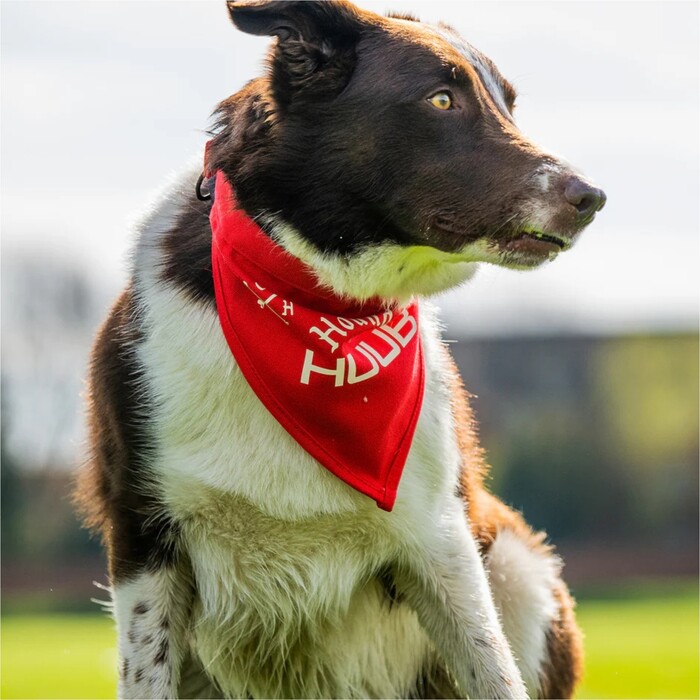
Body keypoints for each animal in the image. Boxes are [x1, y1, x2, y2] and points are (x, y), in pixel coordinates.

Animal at [74, 2, 604, 696]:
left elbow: (493, 671)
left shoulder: (439, 534)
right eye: (441, 100)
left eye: (509, 104)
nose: (591, 197)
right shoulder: (142, 539)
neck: (327, 307)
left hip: (518, 563)